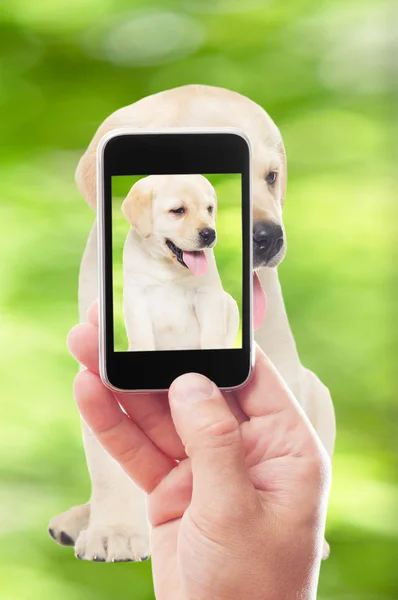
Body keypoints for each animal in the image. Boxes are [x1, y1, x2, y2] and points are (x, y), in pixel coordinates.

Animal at [121, 173, 239, 352]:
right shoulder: (136, 295)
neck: (167, 264)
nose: (210, 234)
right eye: (178, 210)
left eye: (209, 209)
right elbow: (142, 336)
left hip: (231, 304)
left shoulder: (207, 293)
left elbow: (212, 333)